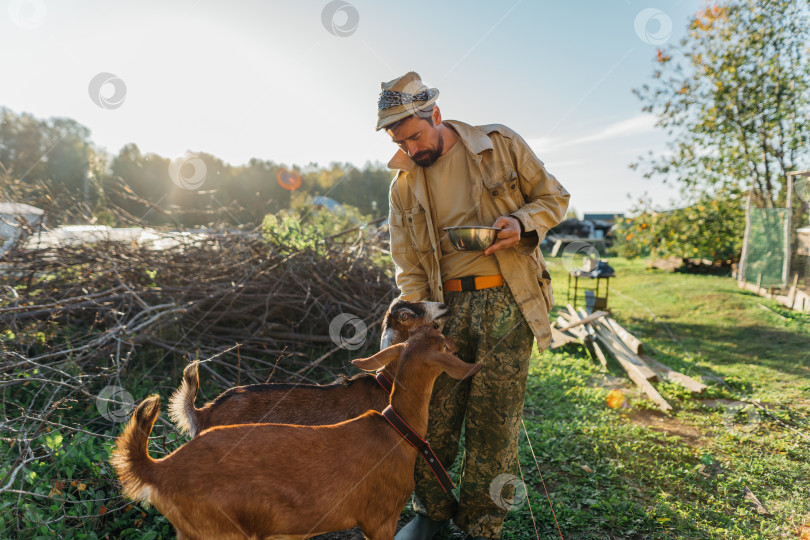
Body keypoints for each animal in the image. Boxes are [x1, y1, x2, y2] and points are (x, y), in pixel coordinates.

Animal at [113, 324, 480, 540]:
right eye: (443, 343)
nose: (454, 336)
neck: (396, 428)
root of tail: (159, 468)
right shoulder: (380, 518)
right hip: (221, 531)